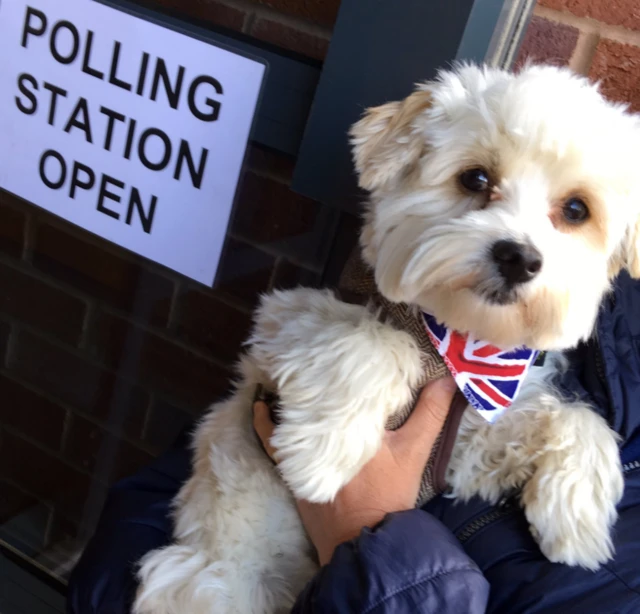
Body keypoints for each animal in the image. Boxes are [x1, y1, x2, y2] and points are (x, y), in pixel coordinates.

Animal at [132, 63, 636, 614]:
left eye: (576, 210)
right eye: (476, 178)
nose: (519, 257)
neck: (453, 338)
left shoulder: (459, 456)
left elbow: (571, 416)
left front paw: (578, 518)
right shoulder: (285, 318)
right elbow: (378, 343)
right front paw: (319, 459)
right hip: (213, 579)